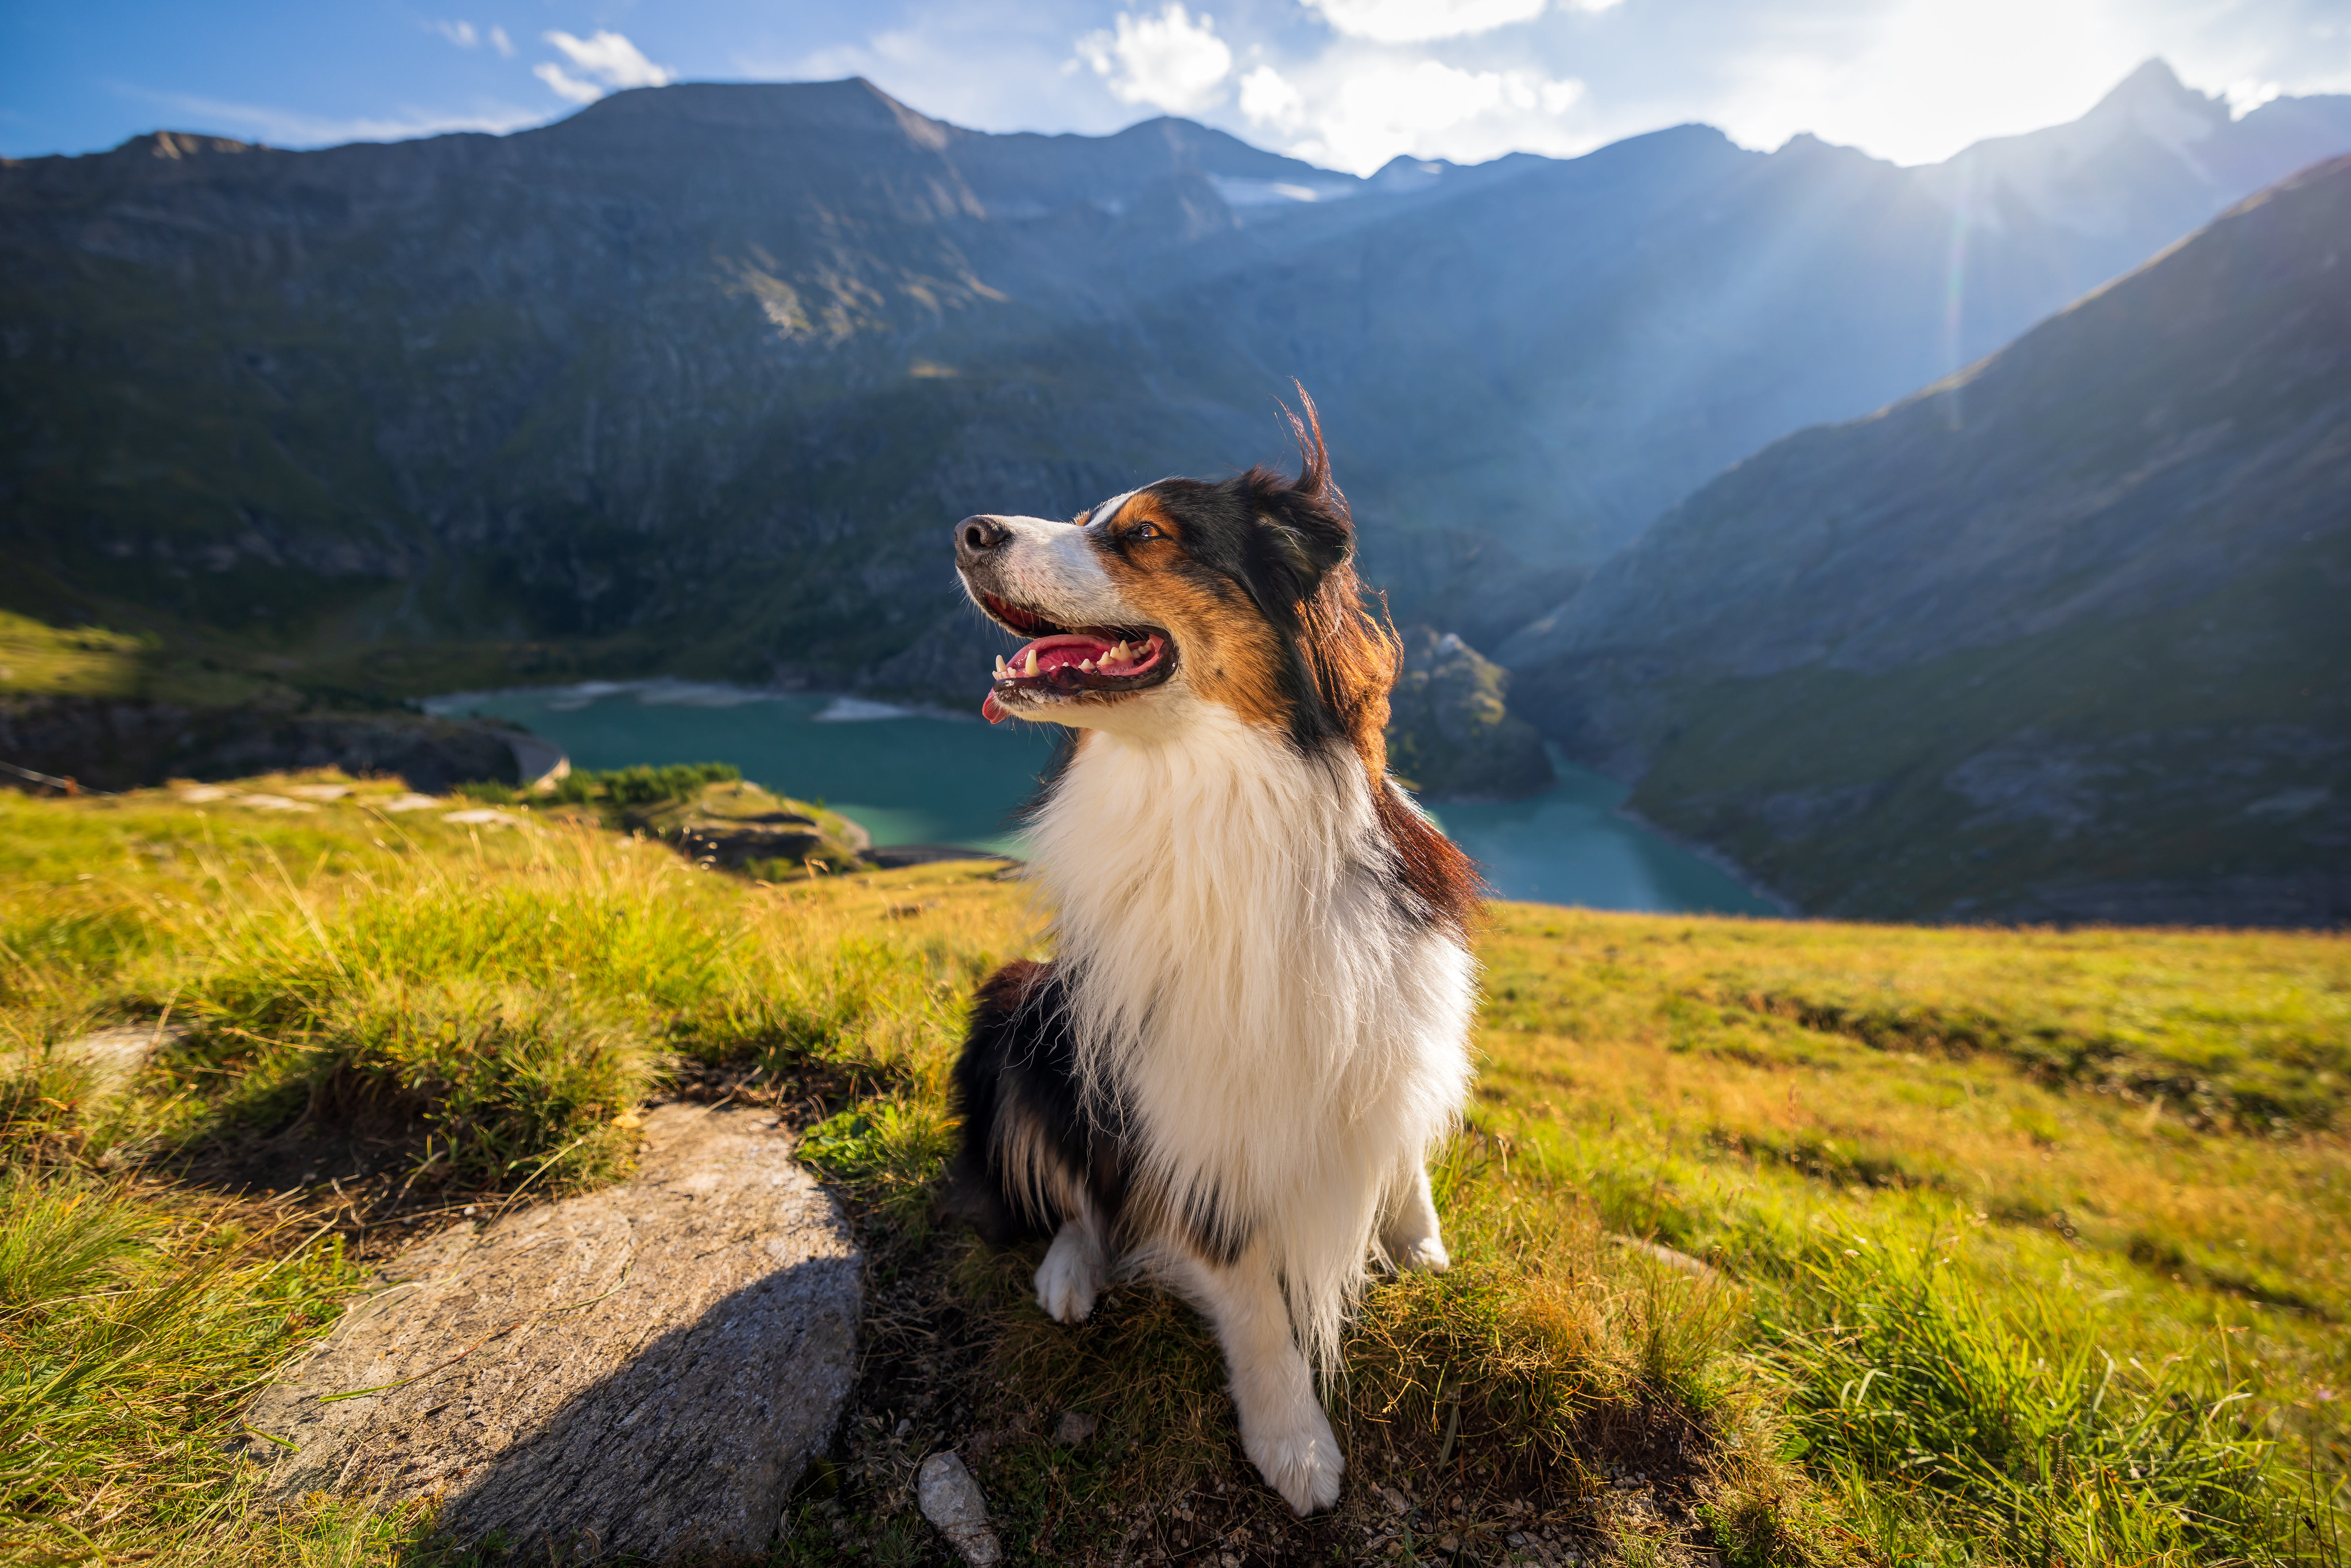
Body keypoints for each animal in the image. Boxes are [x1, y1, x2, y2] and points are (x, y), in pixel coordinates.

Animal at [936, 395, 1467, 1523]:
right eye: (1083, 518)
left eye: (1141, 534)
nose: (967, 532)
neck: (1213, 799)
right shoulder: (1195, 1104)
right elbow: (1252, 1290)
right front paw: (1292, 1441)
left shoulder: (1399, 1023)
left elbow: (1402, 1154)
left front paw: (1422, 1249)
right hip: (1022, 1010)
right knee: (1078, 1193)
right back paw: (1071, 1272)